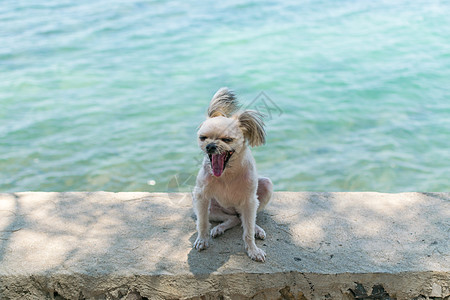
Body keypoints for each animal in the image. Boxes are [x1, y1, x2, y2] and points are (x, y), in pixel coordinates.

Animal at [192, 87, 272, 262]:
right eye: (203, 138)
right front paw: (202, 240)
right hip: (208, 207)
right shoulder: (201, 198)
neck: (226, 173)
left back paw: (256, 228)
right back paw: (219, 228)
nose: (210, 145)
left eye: (227, 139)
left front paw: (253, 250)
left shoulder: (250, 201)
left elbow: (248, 231)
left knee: (244, 219)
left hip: (264, 188)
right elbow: (202, 223)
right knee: (233, 218)